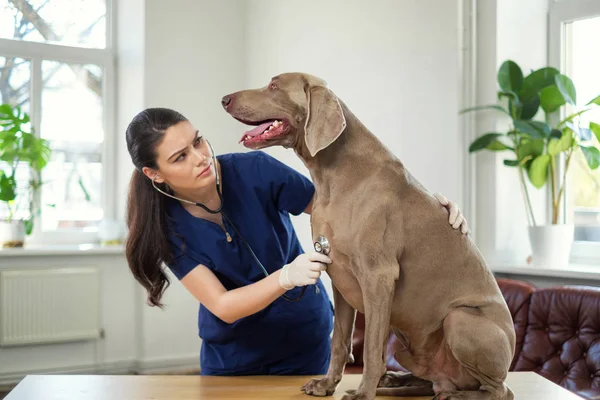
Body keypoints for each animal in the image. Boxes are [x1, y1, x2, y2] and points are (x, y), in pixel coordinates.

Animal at [220, 72, 516, 400]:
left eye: (274, 85)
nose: (224, 99)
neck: (334, 175)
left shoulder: (378, 276)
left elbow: (373, 347)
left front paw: (363, 392)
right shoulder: (338, 274)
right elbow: (339, 340)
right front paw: (327, 384)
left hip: (460, 319)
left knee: (500, 390)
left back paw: (453, 394)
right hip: (406, 342)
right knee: (432, 379)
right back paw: (398, 381)